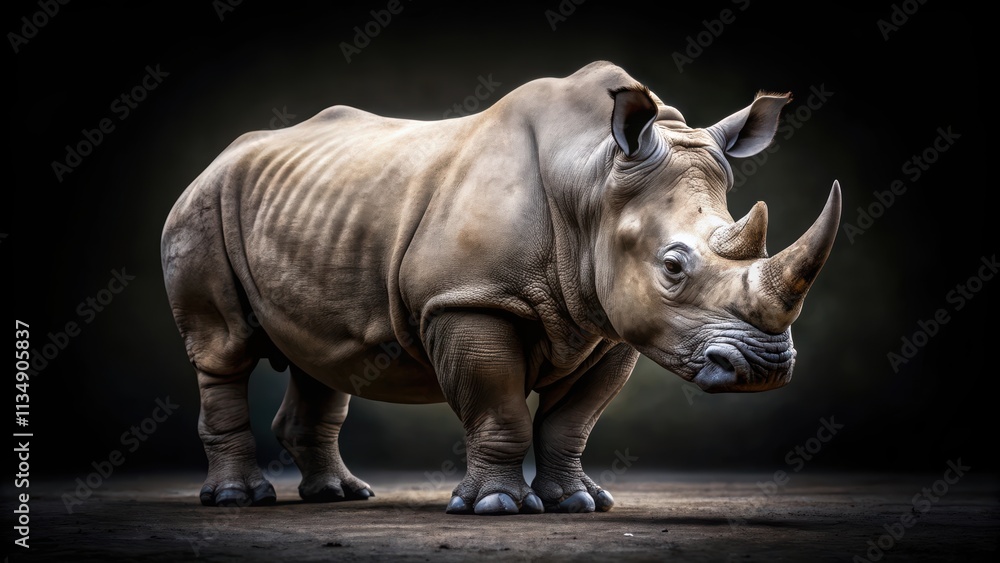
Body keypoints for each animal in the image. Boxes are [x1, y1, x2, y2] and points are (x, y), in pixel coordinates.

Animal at [160, 60, 841, 515]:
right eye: (673, 267)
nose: (764, 368)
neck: (592, 178)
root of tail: (219, 157)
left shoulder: (610, 321)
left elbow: (572, 420)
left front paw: (578, 503)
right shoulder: (469, 299)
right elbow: (498, 405)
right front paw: (496, 507)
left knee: (321, 358)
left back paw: (338, 496)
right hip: (203, 203)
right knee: (223, 350)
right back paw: (238, 499)